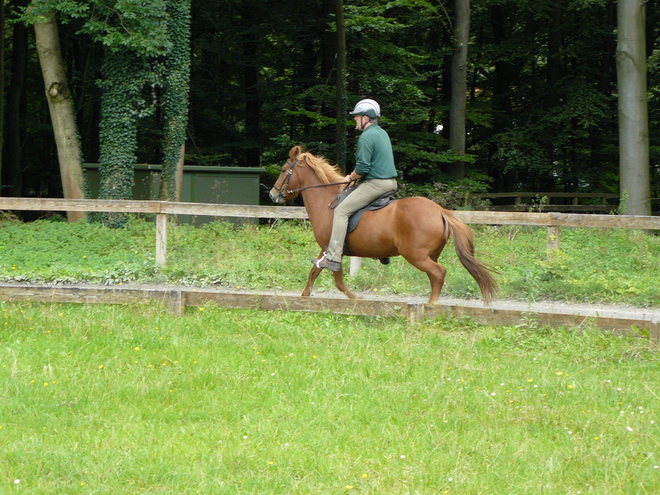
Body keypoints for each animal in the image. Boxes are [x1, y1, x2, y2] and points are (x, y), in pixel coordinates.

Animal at [266, 145, 496, 304]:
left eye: (284, 169)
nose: (272, 194)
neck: (327, 200)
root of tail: (440, 211)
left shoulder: (330, 248)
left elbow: (332, 277)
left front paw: (353, 300)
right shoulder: (329, 249)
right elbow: (320, 274)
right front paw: (306, 297)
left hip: (416, 255)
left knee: (438, 273)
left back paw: (431, 307)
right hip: (430, 254)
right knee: (434, 277)